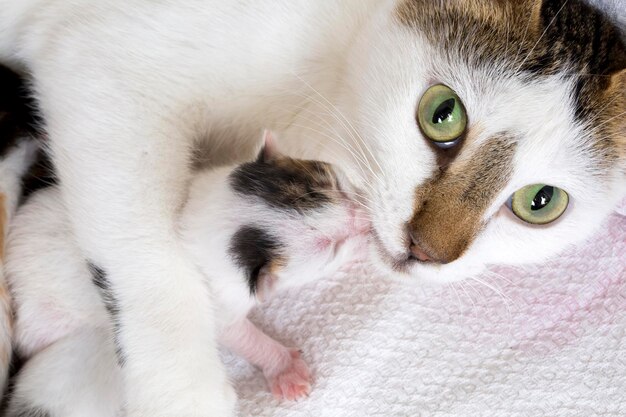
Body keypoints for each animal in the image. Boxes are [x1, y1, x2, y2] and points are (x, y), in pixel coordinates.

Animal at [2, 132, 366, 414]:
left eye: (336, 185)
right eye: (329, 247)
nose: (364, 219)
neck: (194, 220)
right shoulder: (219, 302)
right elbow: (239, 335)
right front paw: (284, 367)